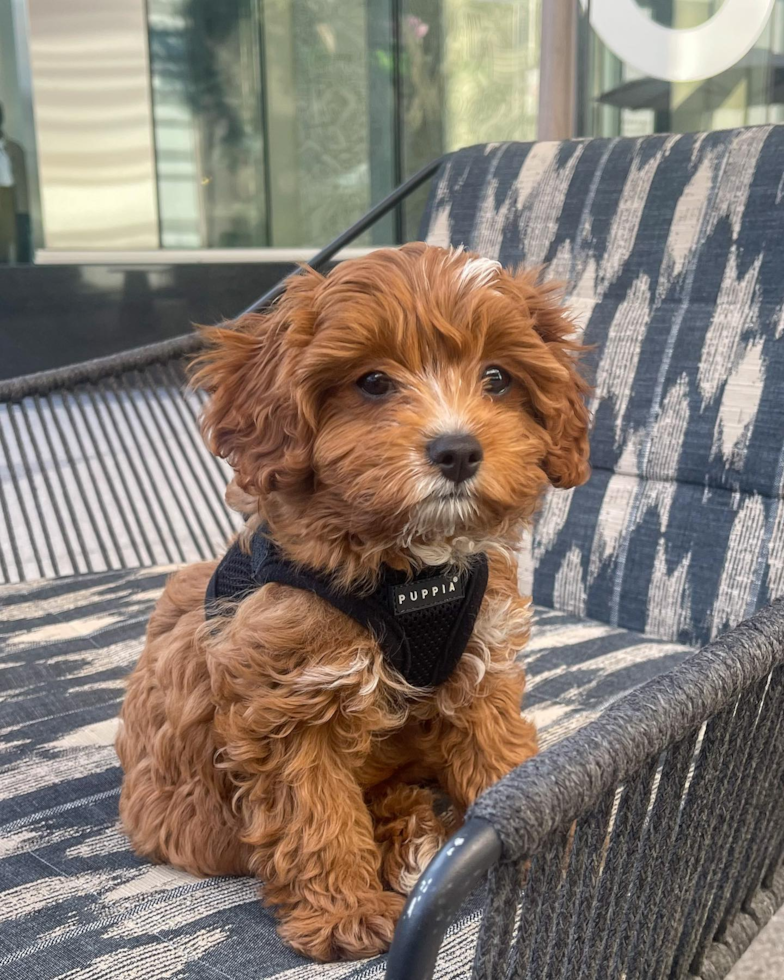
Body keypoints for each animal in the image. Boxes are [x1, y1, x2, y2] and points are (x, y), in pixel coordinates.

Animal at [113, 241, 584, 960]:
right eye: (373, 383)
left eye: (498, 377)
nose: (457, 451)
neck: (408, 571)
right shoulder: (289, 698)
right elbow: (315, 812)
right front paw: (344, 913)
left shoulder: (481, 664)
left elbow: (498, 756)